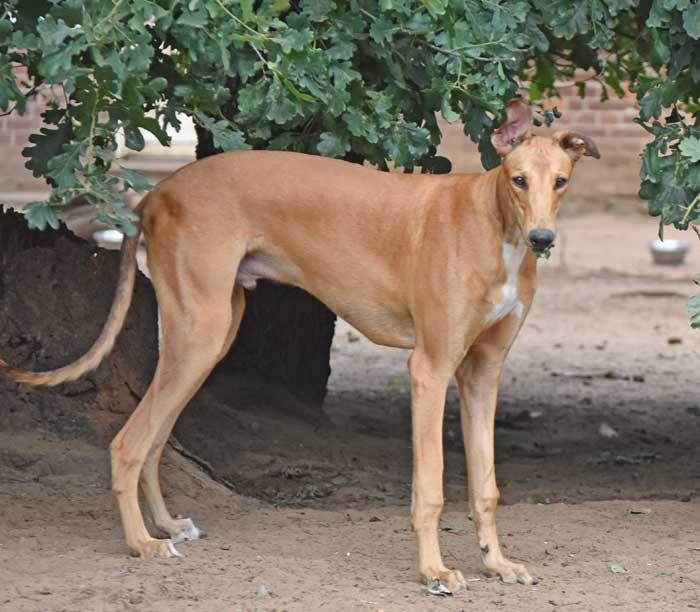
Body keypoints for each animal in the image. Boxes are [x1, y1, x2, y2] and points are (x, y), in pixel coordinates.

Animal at [0, 100, 598, 591]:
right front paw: (433, 571)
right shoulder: (429, 369)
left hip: (209, 338)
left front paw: (497, 563)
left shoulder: (482, 373)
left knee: (153, 439)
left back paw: (167, 526)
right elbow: (430, 486)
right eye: (518, 180)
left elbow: (486, 486)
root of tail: (157, 191)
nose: (543, 240)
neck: (493, 225)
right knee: (128, 443)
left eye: (560, 181)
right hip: (199, 333)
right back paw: (142, 543)